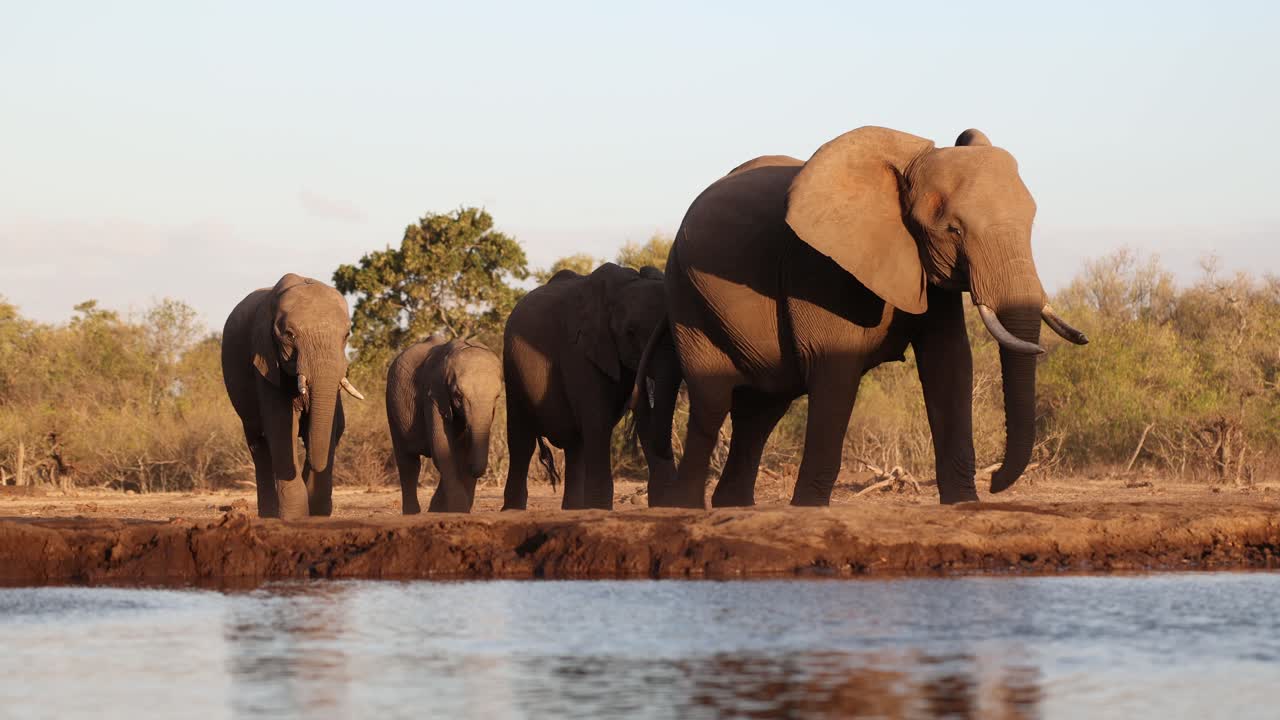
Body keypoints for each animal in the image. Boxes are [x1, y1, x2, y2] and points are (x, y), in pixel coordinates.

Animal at [221, 273, 366, 519]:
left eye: (347, 335)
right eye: (289, 335)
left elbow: (331, 426)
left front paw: (317, 512)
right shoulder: (264, 360)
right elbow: (280, 427)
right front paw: (296, 516)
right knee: (258, 443)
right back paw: (269, 514)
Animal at [386, 335, 503, 513]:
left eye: (497, 397)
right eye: (458, 396)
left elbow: (458, 453)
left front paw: (442, 510)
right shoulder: (433, 393)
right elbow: (442, 448)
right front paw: (458, 510)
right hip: (392, 405)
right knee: (408, 463)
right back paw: (412, 513)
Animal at [501, 262, 681, 510]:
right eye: (630, 333)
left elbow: (645, 419)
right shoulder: (579, 350)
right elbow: (598, 421)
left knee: (576, 447)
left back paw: (572, 510)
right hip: (512, 371)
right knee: (522, 441)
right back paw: (513, 511)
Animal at [644, 126, 1087, 508]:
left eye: (1031, 222)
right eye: (953, 230)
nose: (995, 482)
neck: (908, 166)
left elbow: (949, 364)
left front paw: (964, 504)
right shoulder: (818, 264)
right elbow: (835, 367)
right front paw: (809, 510)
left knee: (762, 410)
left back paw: (733, 507)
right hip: (685, 294)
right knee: (713, 401)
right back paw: (685, 509)